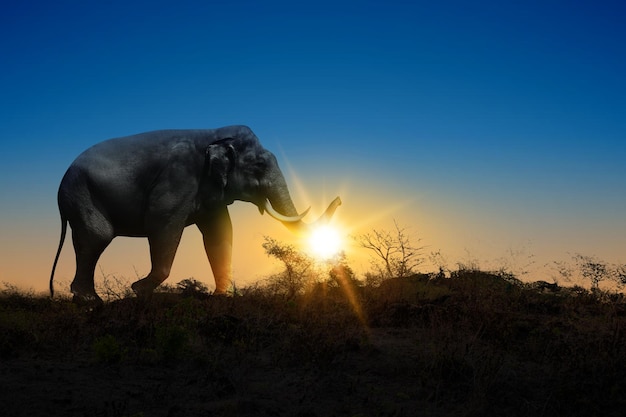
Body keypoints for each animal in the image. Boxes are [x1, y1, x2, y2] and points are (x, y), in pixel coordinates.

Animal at [50, 124, 342, 302]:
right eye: (259, 165)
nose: (339, 198)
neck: (213, 133)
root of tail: (61, 183)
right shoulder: (177, 178)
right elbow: (162, 223)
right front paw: (137, 291)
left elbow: (221, 232)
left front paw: (223, 297)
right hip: (83, 194)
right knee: (97, 236)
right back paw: (90, 301)